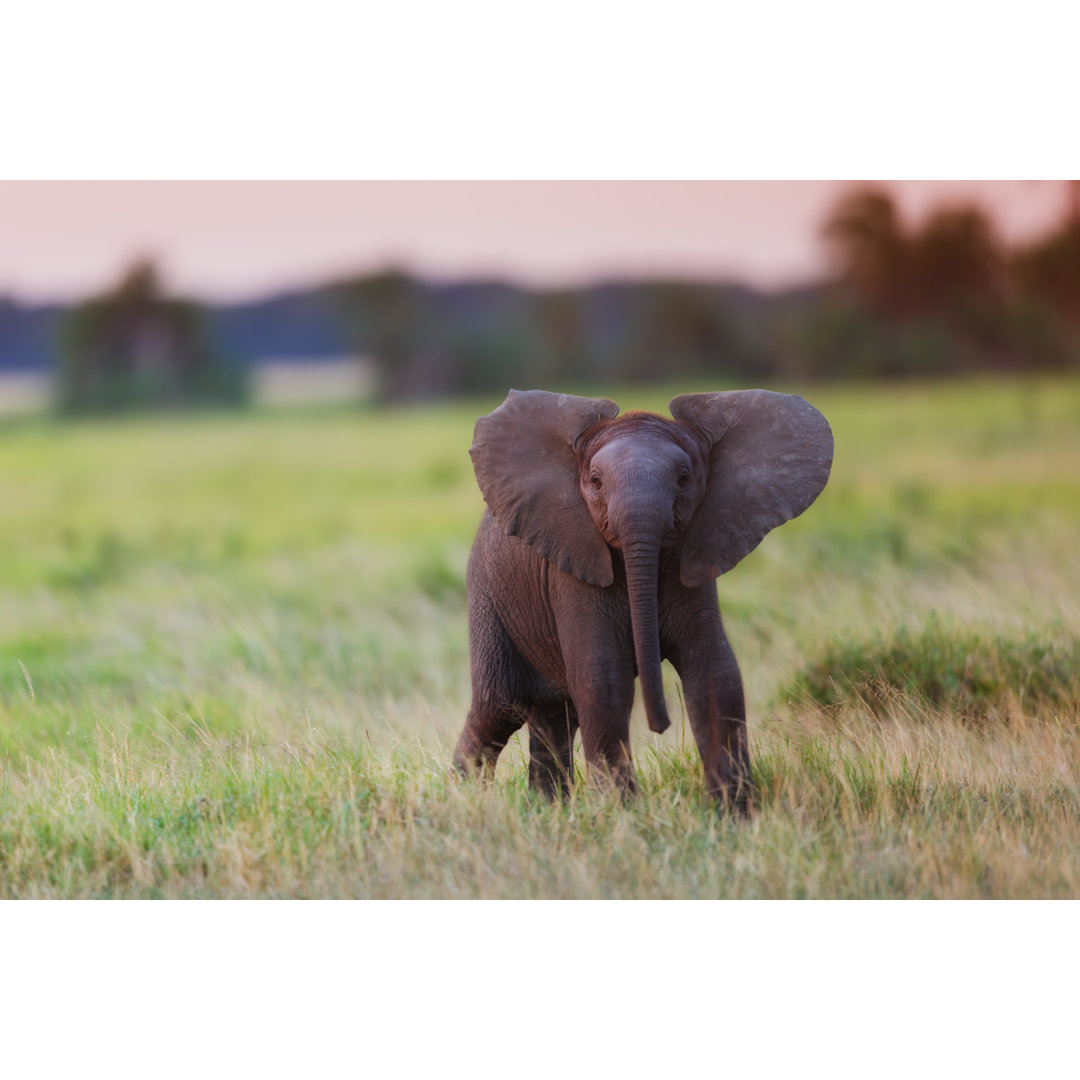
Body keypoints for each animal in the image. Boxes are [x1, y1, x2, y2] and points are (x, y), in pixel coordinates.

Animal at [451, 388, 829, 812]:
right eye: (595, 481)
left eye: (684, 480)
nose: (660, 726)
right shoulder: (574, 566)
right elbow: (603, 678)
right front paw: (622, 814)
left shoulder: (695, 555)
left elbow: (715, 673)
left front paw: (733, 813)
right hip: (488, 598)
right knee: (498, 709)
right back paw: (464, 799)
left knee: (555, 717)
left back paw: (548, 809)